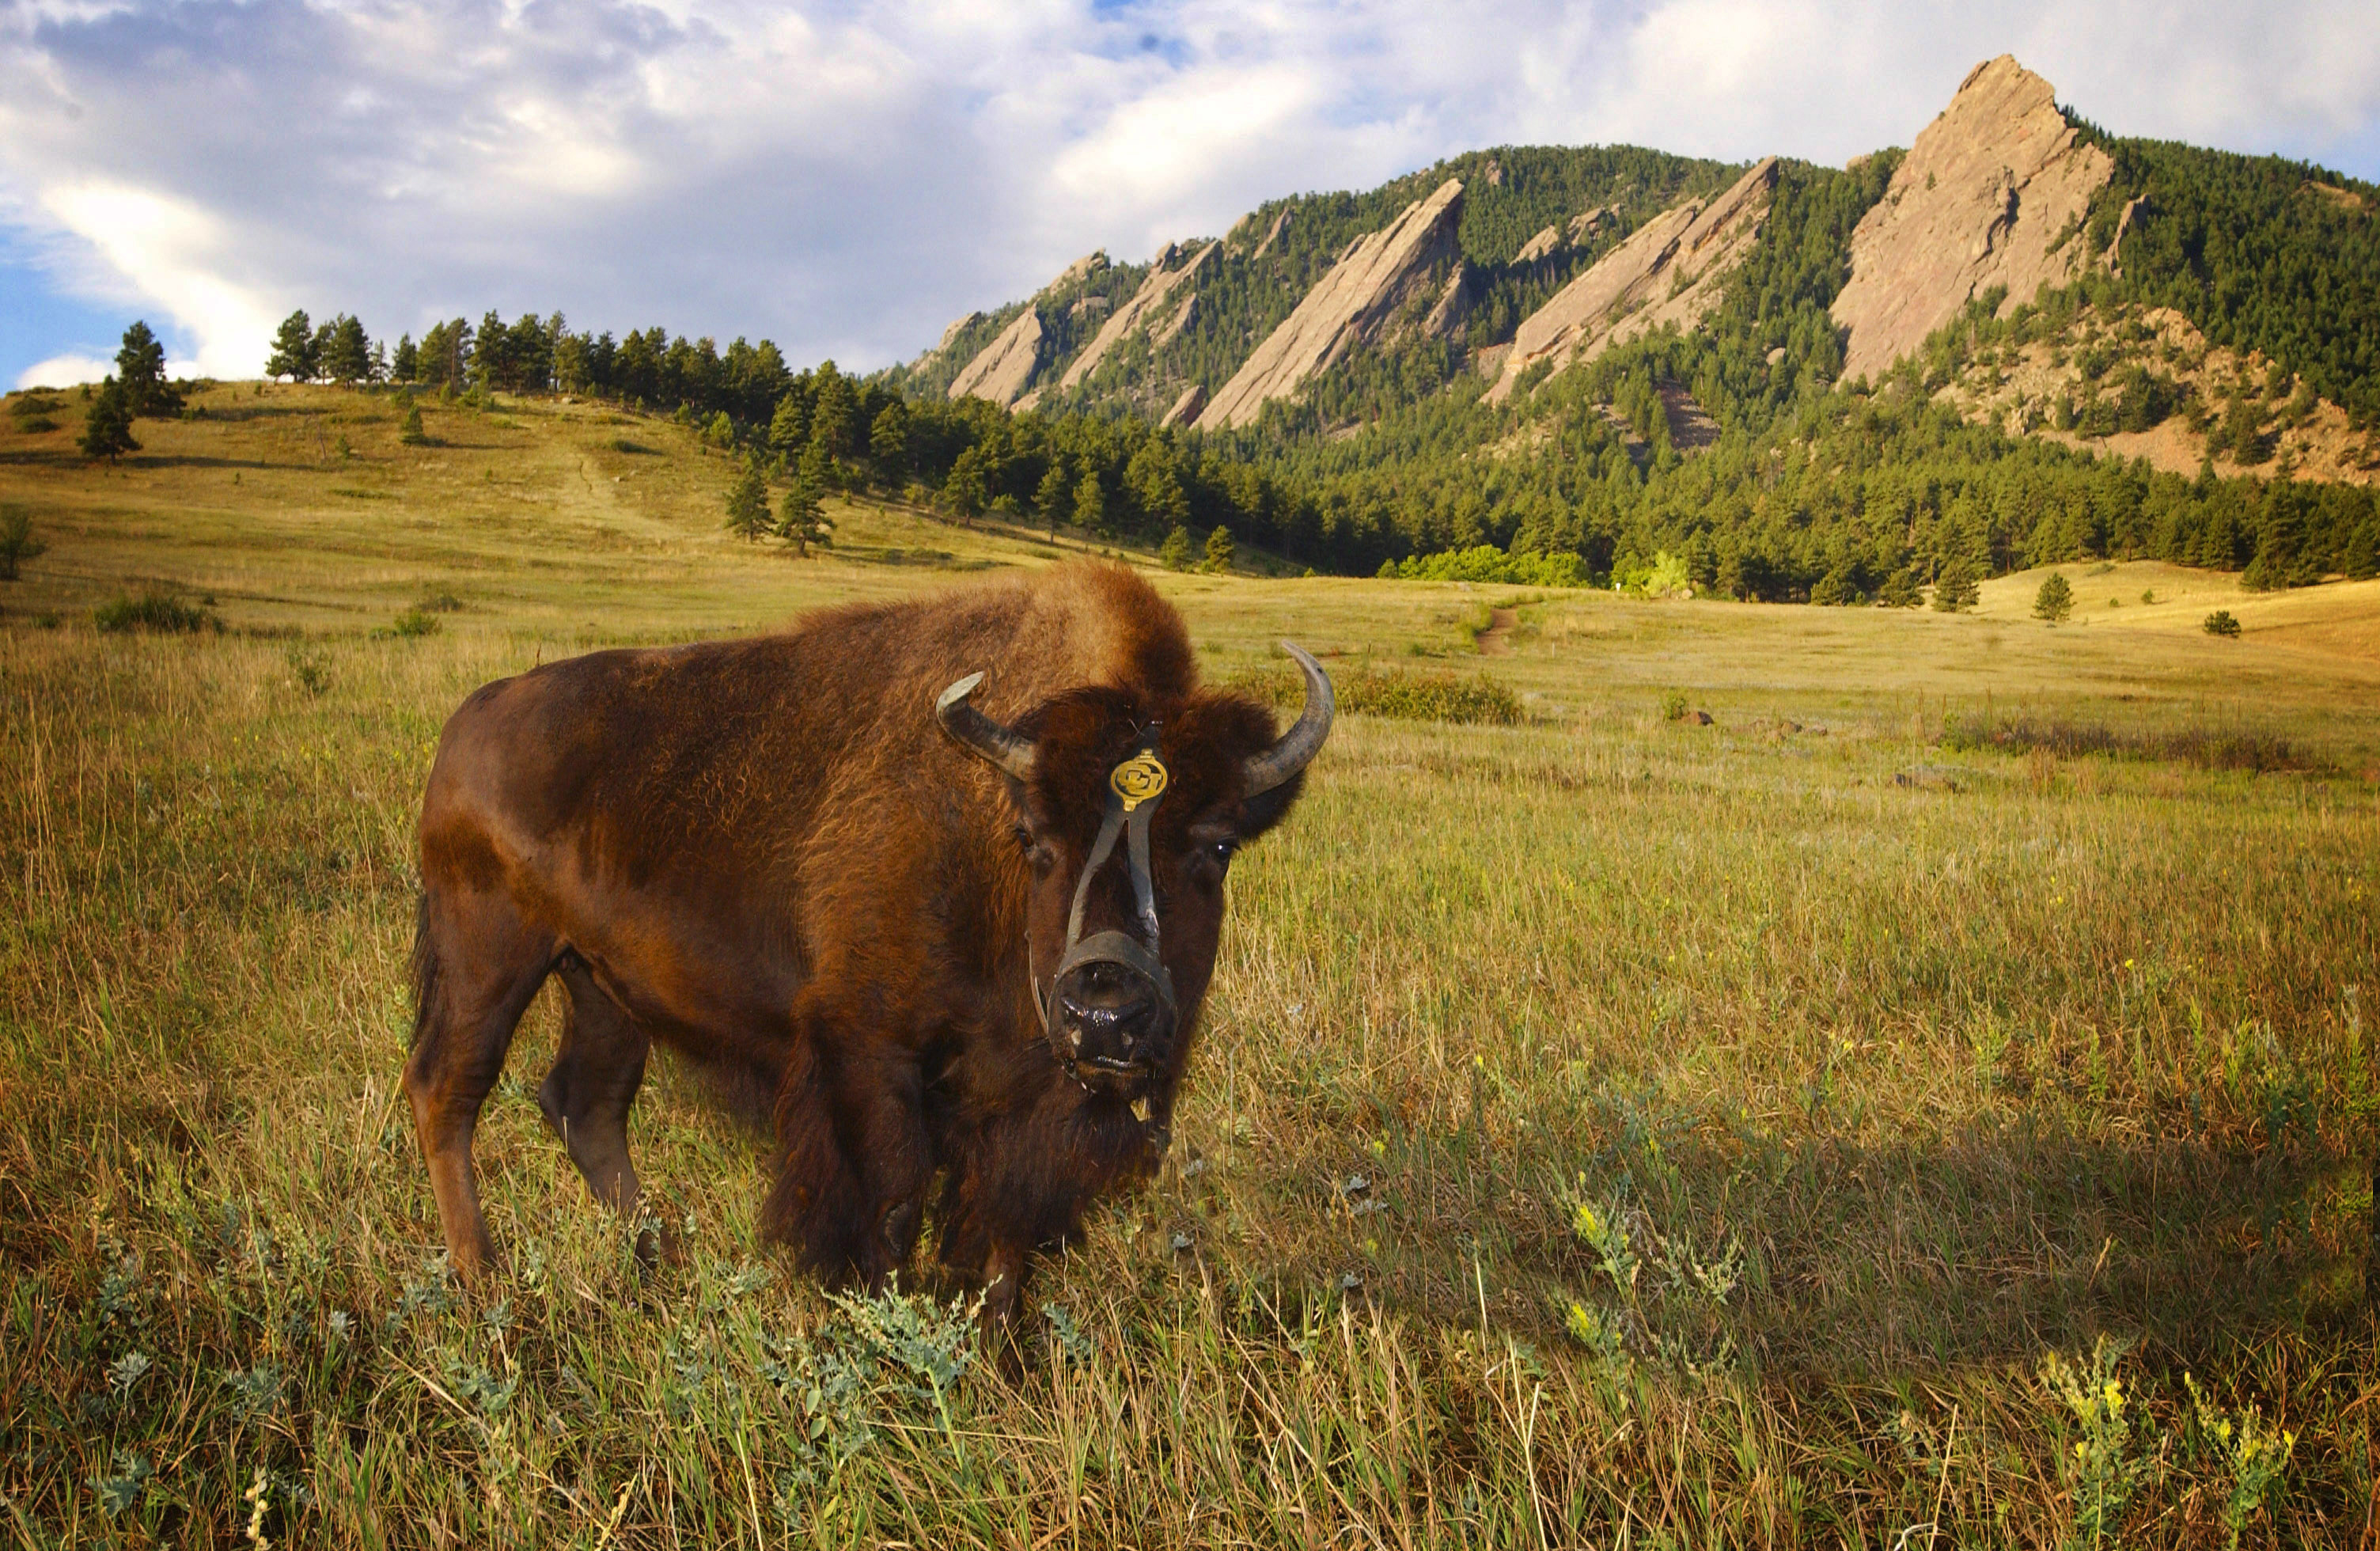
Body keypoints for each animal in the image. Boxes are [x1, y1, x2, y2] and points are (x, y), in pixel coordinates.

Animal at [404, 562, 1330, 1325]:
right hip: (492, 954)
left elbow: (1002, 1248)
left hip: (599, 982)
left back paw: (660, 1263)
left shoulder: (1013, 1118)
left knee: (586, 1106)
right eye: (1034, 840)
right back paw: (484, 1281)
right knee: (448, 1089)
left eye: (1217, 845)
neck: (984, 845)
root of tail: (469, 721)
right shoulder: (867, 1056)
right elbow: (885, 1215)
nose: (1104, 1017)